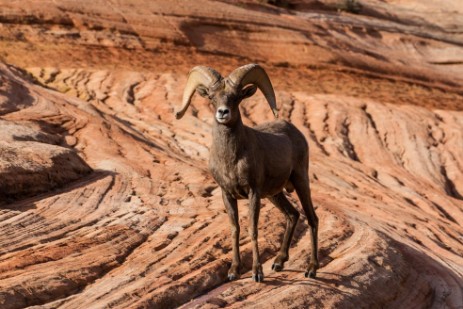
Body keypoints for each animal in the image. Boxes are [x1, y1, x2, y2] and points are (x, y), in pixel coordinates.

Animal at [177, 64, 320, 282]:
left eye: (236, 97)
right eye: (211, 97)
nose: (223, 113)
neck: (232, 160)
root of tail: (295, 132)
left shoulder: (253, 193)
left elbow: (252, 230)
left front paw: (257, 273)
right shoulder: (227, 195)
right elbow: (235, 229)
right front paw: (233, 271)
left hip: (300, 182)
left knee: (312, 219)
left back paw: (311, 269)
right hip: (274, 194)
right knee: (293, 215)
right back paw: (279, 262)